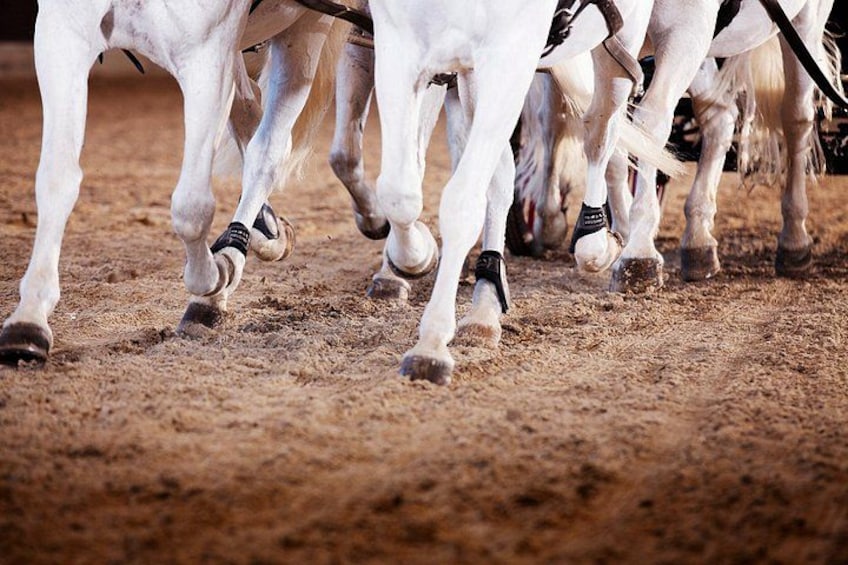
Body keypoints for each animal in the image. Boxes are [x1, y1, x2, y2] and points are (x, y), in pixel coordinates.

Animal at [0, 0, 348, 364]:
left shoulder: (207, 55)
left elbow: (191, 207)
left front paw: (216, 274)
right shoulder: (62, 31)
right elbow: (57, 180)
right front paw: (29, 319)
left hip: (304, 29)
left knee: (269, 149)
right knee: (249, 116)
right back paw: (266, 234)